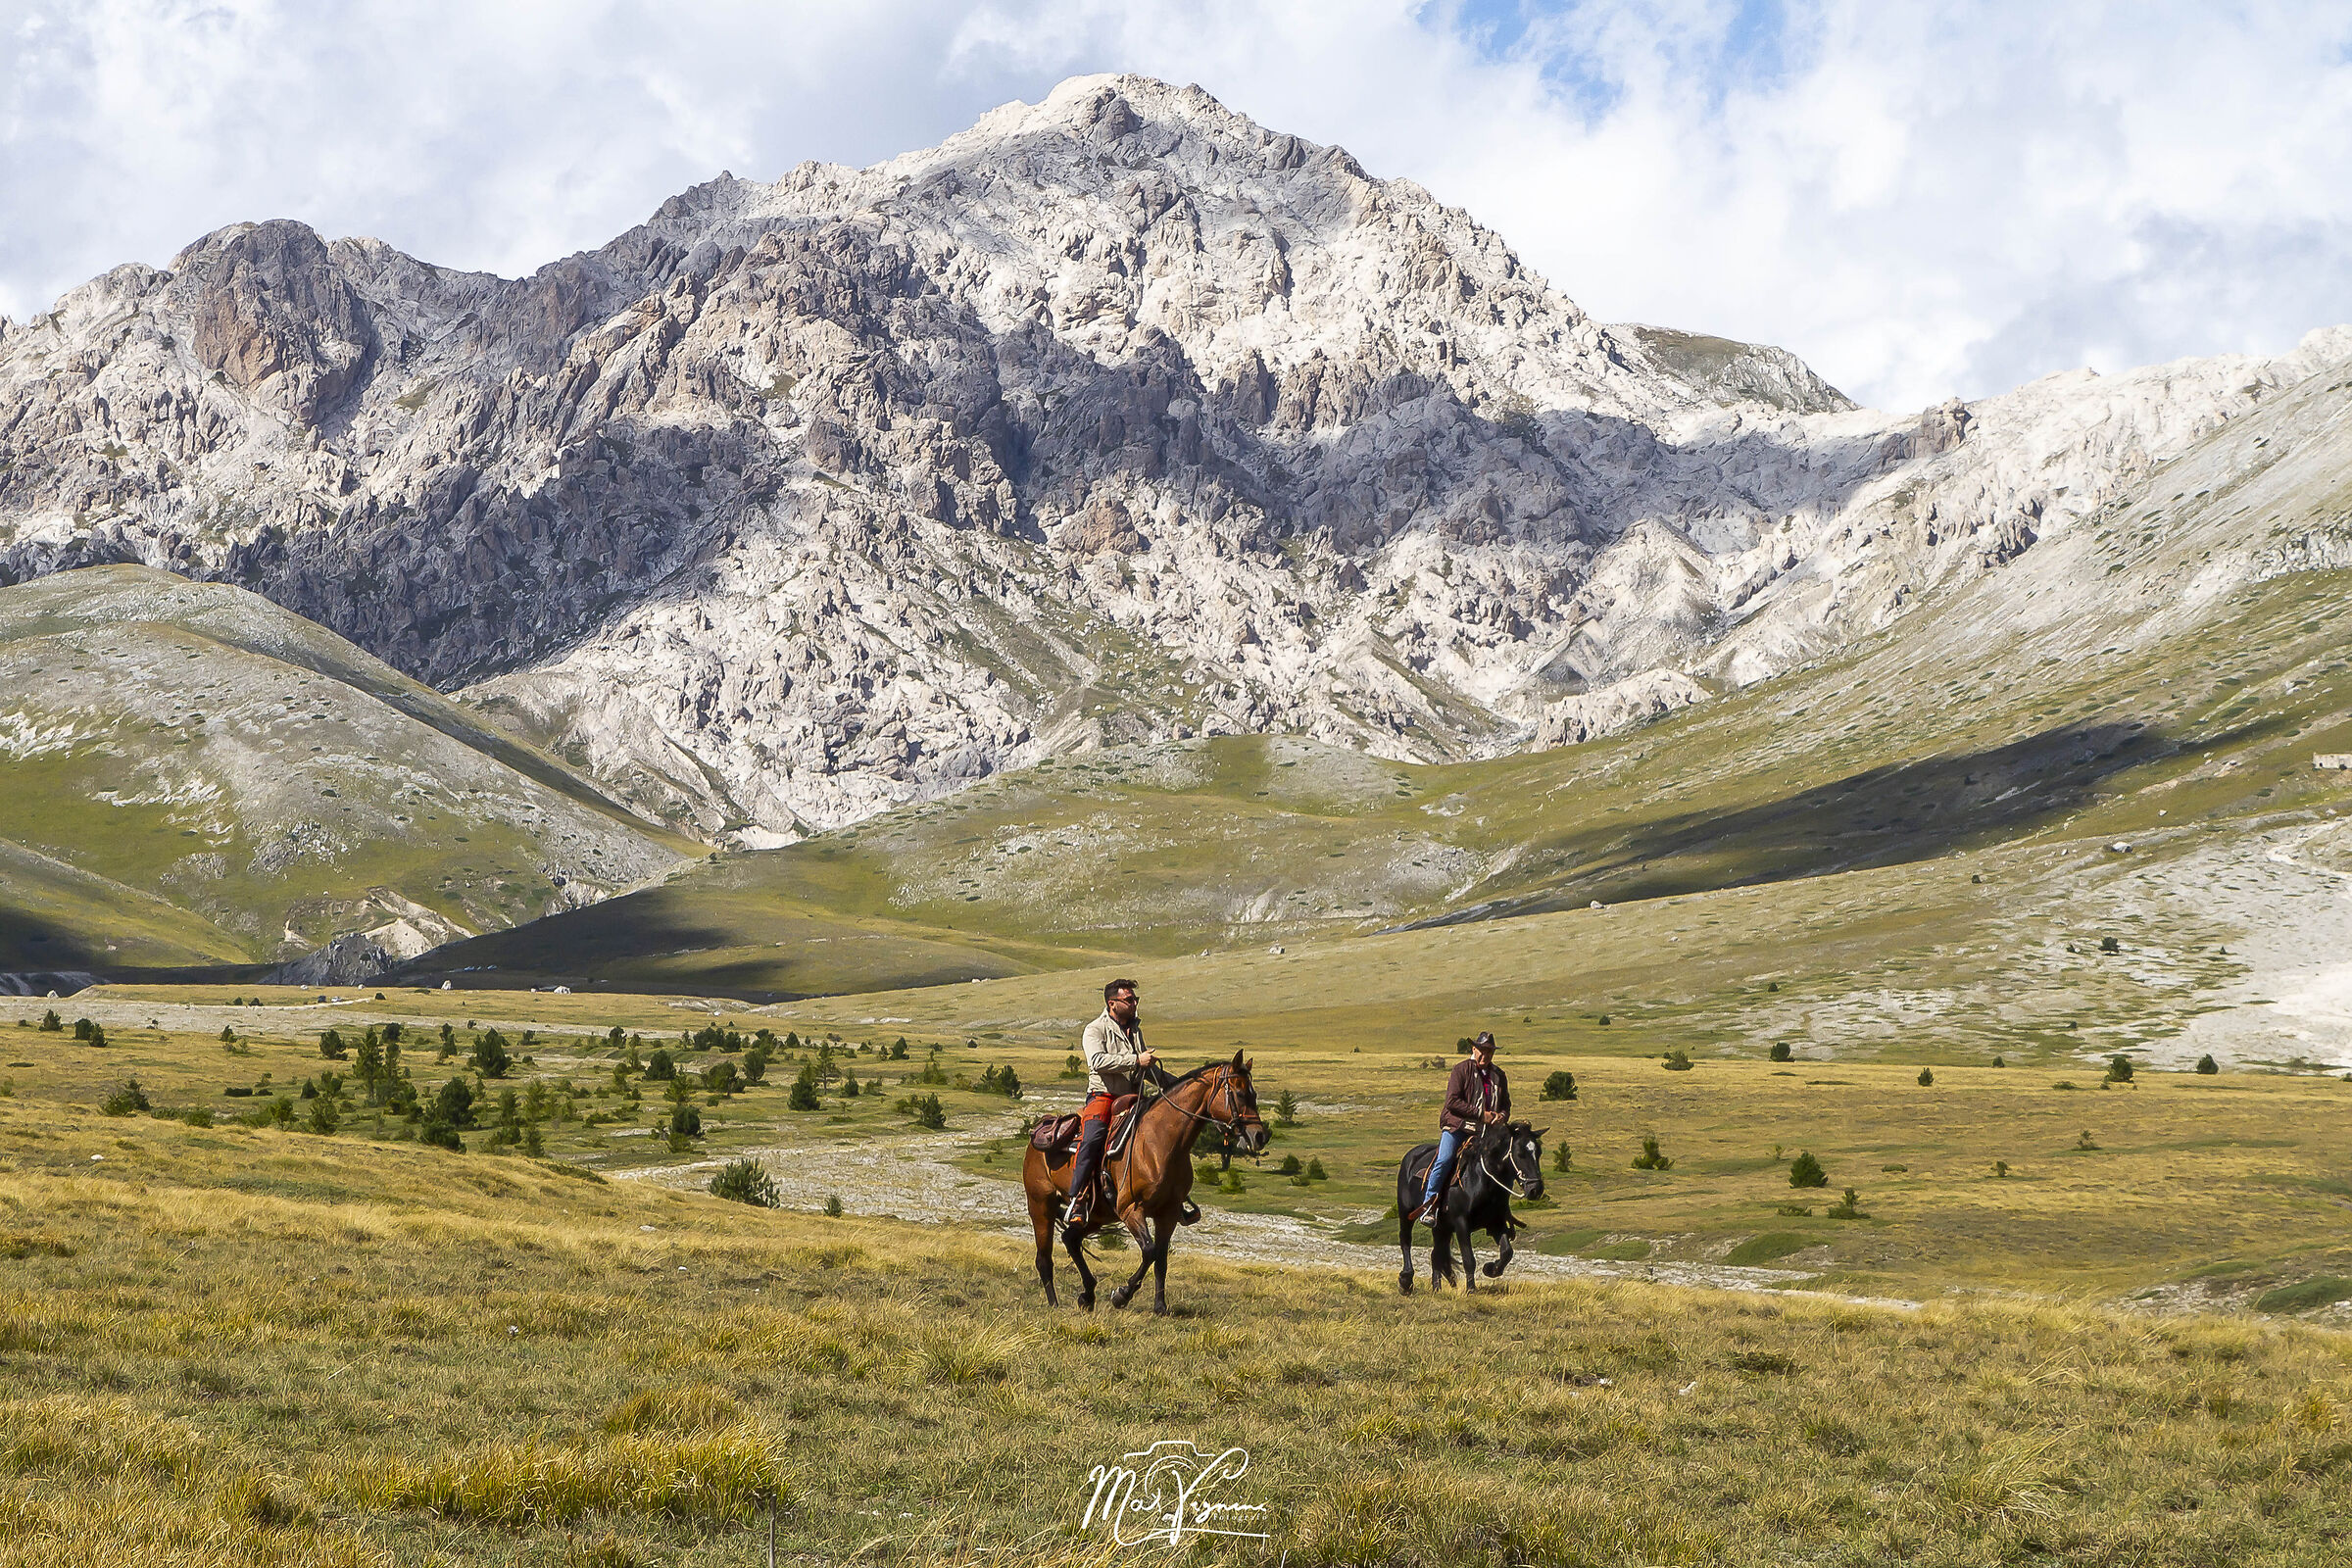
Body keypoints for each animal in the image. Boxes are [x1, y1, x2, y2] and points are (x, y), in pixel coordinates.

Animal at [1022, 1050, 1267, 1314]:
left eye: (1254, 1093)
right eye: (1240, 1093)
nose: (1260, 1136)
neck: (1160, 1143)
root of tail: (1037, 1135)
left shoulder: (1168, 1213)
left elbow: (1161, 1258)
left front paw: (1160, 1306)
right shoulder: (1131, 1209)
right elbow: (1149, 1251)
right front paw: (1122, 1295)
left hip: (1097, 1214)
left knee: (1071, 1239)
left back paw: (1087, 1295)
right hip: (1041, 1205)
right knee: (1044, 1258)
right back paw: (1054, 1304)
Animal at [1394, 1119, 1546, 1292]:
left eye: (1539, 1152)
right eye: (1520, 1153)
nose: (1536, 1189)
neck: (1481, 1181)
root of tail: (1411, 1156)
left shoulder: (1496, 1223)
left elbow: (1507, 1252)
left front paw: (1490, 1269)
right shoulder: (1461, 1223)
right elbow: (1469, 1259)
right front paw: (1471, 1289)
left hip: (1440, 1227)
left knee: (1436, 1254)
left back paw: (1436, 1288)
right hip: (1406, 1212)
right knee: (1406, 1240)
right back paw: (1406, 1281)